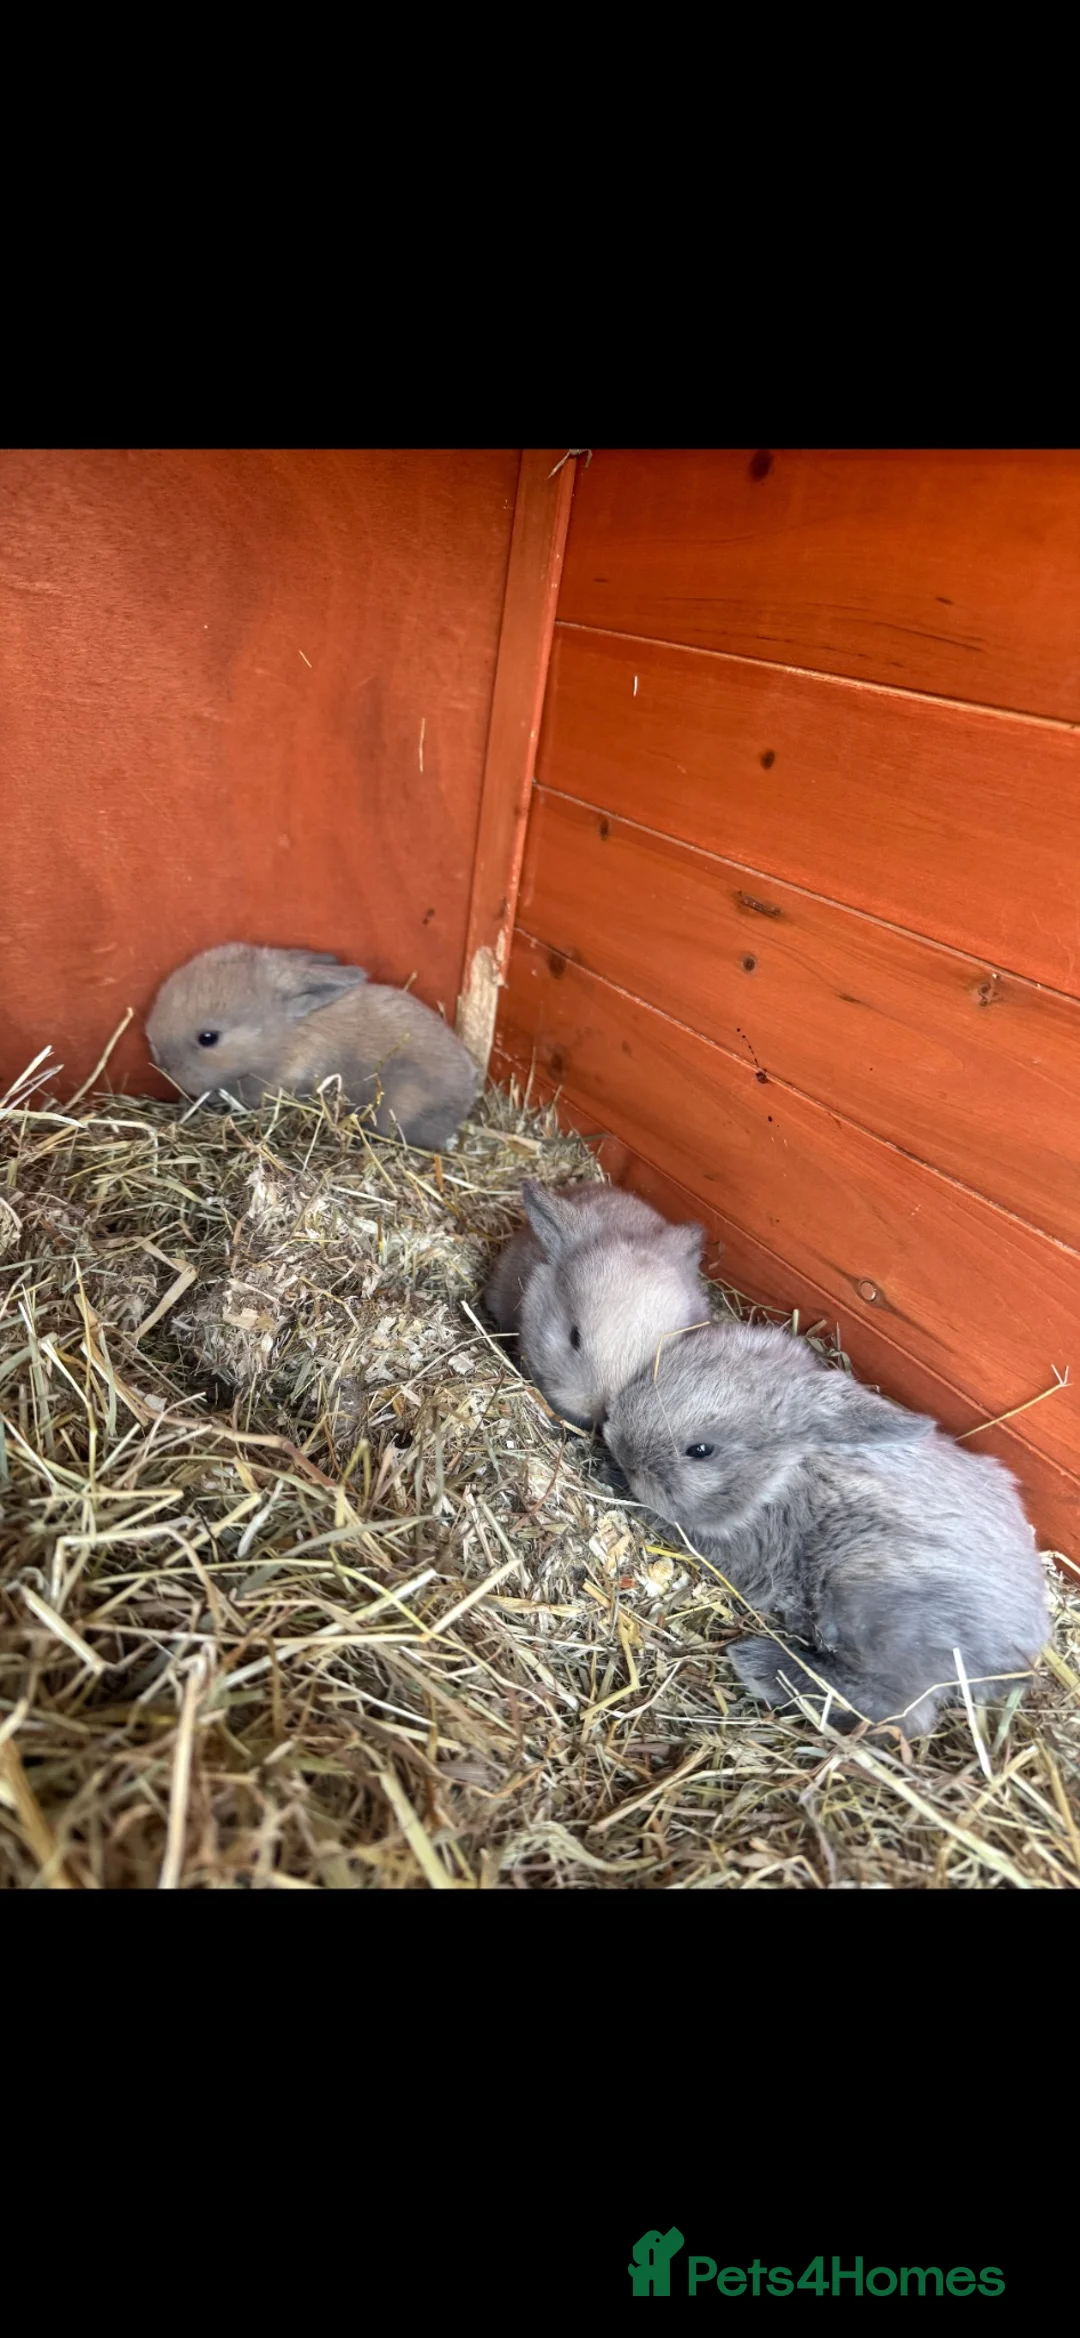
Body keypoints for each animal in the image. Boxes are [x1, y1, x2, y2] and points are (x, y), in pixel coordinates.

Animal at [604, 1320, 1049, 1738]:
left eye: (700, 1451)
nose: (618, 1443)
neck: (786, 1472)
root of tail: (1020, 1655)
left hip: (872, 1608)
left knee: (903, 1713)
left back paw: (761, 1664)